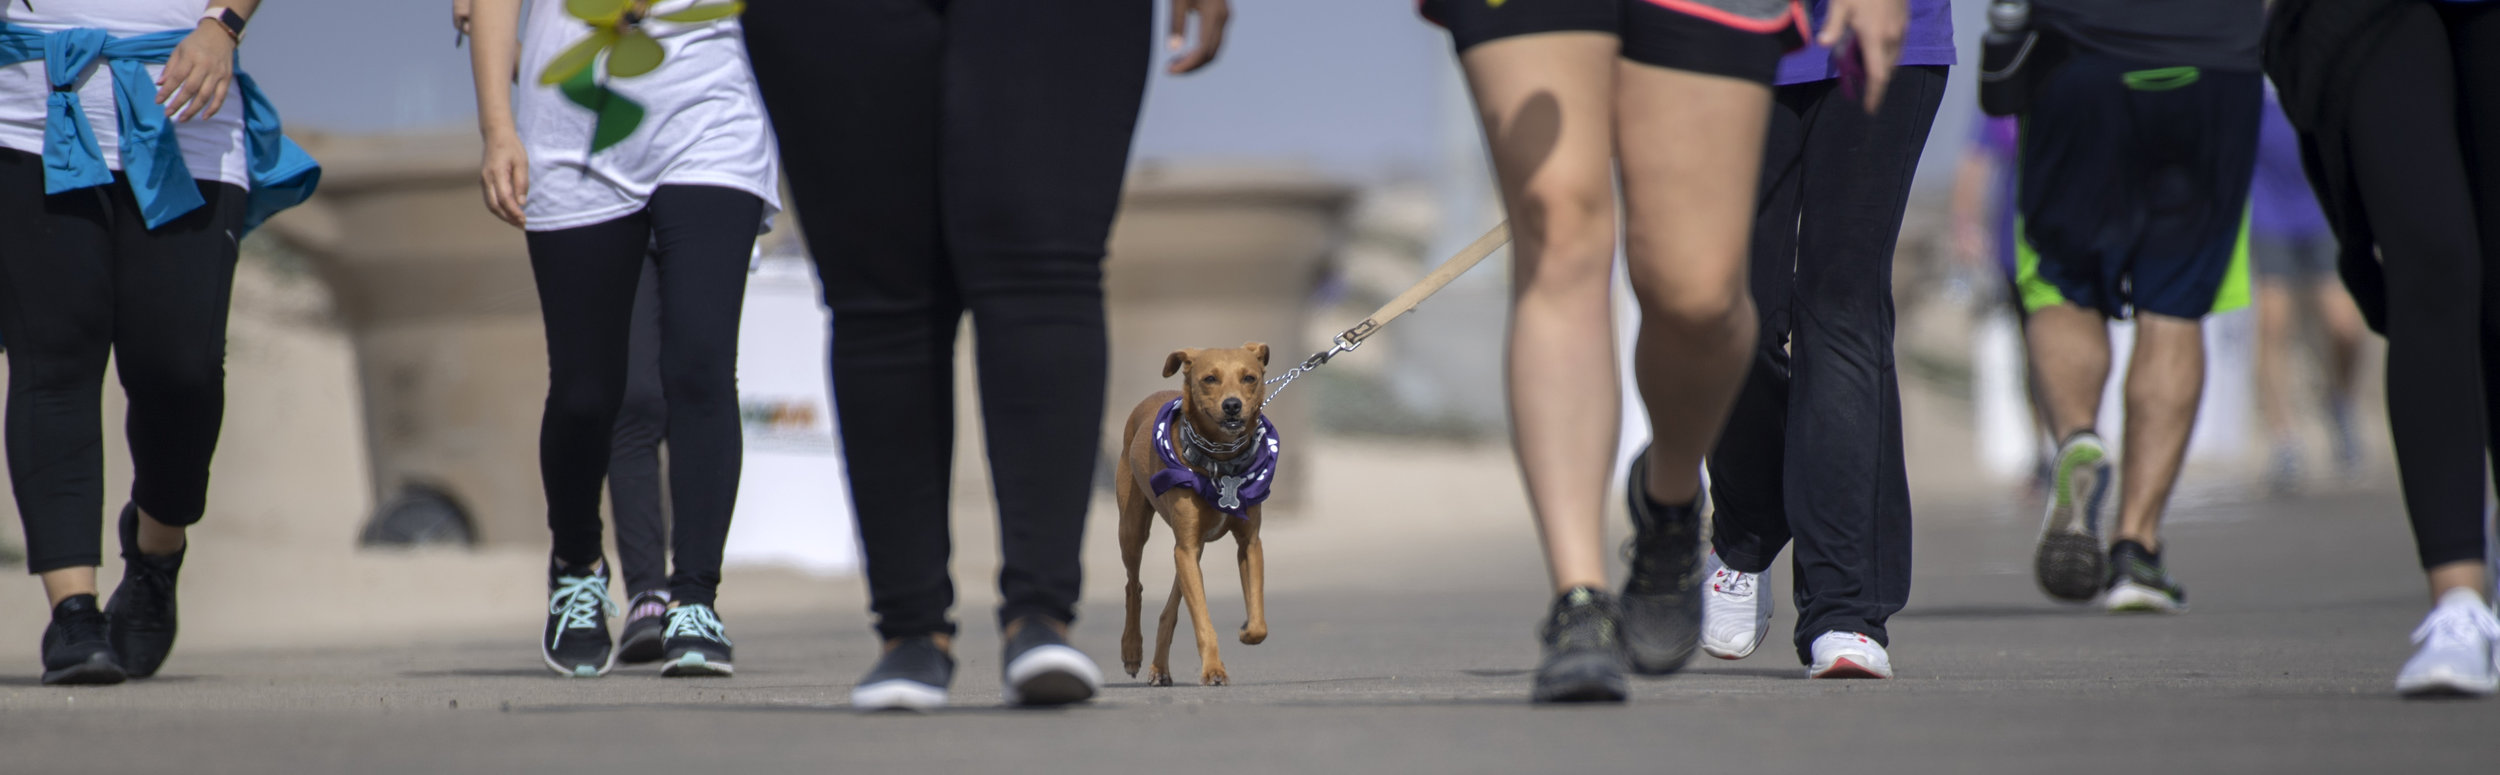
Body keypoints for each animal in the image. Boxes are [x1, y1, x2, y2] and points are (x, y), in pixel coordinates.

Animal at [1125, 340, 1280, 685]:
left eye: (1249, 378)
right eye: (1210, 378)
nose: (1233, 405)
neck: (1221, 463)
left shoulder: (1249, 543)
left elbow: (1259, 622)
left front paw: (1247, 630)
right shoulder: (1185, 546)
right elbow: (1202, 620)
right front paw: (1213, 671)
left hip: (1191, 551)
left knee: (1169, 608)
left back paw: (1159, 668)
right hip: (1133, 528)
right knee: (1133, 585)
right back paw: (1131, 651)